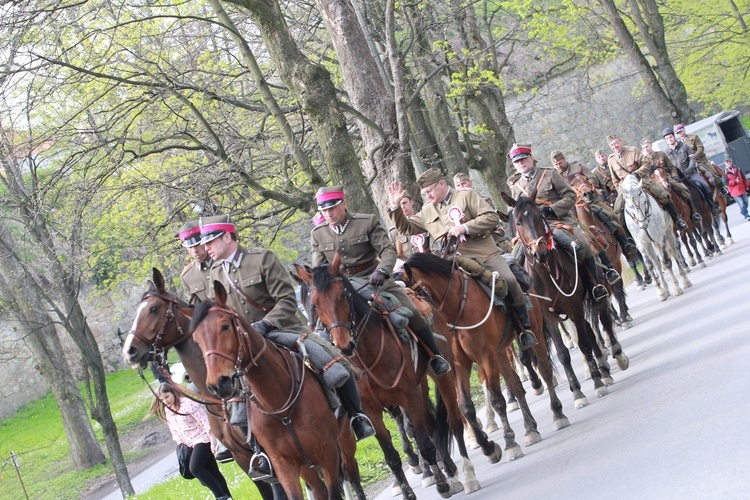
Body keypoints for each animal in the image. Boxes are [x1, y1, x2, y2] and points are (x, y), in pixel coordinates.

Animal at [502, 193, 632, 404]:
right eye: (519, 222)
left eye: (540, 216)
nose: (539, 252)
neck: (547, 274)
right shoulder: (548, 316)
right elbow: (563, 353)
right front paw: (577, 392)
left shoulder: (575, 308)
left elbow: (585, 343)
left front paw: (597, 383)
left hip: (601, 291)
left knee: (604, 319)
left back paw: (617, 355)